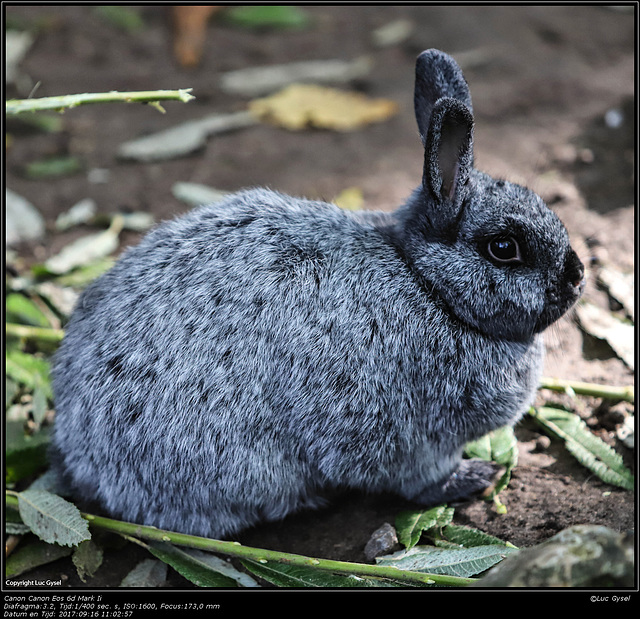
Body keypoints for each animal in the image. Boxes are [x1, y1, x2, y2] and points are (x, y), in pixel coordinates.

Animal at [48, 50, 584, 540]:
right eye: (504, 248)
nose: (578, 277)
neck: (427, 282)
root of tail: (81, 453)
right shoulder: (405, 438)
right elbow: (417, 481)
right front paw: (475, 476)